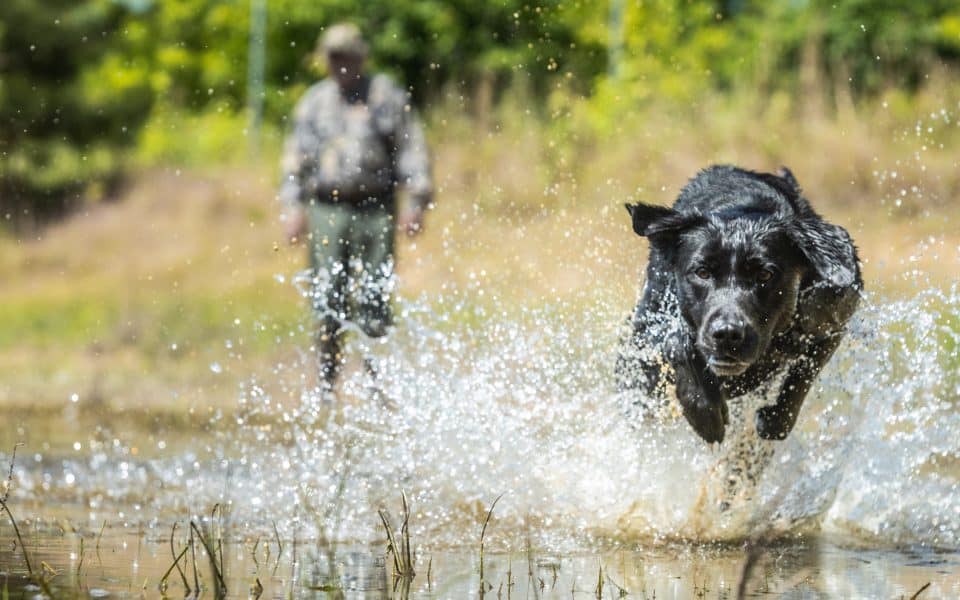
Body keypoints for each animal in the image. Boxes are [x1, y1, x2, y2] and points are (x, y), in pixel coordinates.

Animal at [616, 166, 864, 442]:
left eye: (765, 275)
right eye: (702, 272)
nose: (727, 334)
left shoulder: (831, 322)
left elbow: (801, 379)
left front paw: (772, 420)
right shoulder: (652, 329)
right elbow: (677, 342)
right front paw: (704, 410)